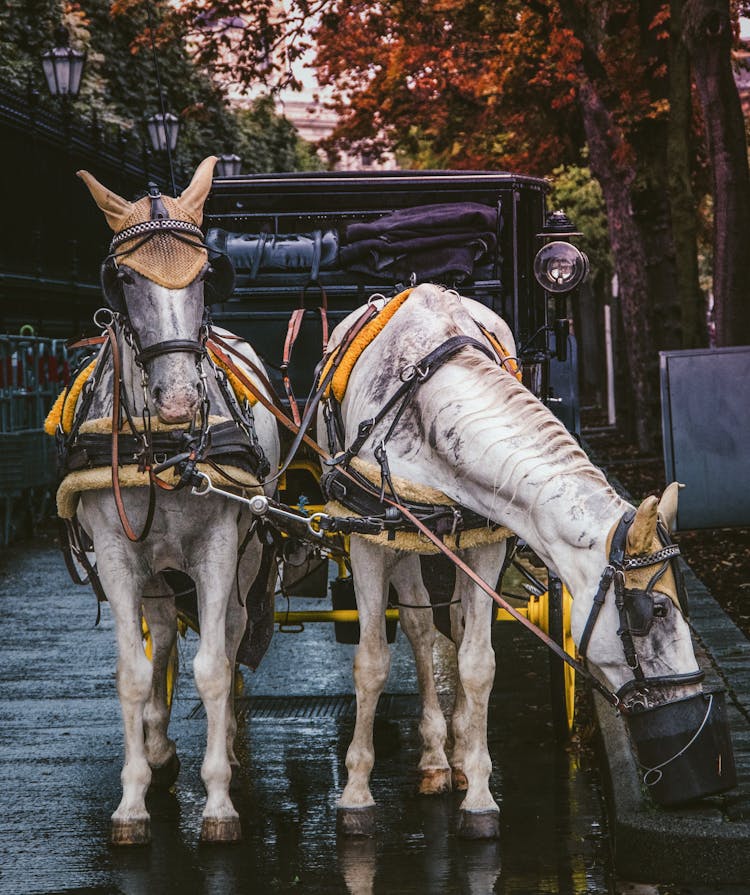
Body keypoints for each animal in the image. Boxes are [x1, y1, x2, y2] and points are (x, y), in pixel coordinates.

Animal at [61, 161, 280, 848]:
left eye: (207, 274)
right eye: (125, 278)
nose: (182, 399)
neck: (163, 446)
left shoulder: (218, 548)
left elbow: (213, 666)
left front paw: (219, 802)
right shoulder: (115, 553)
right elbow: (135, 672)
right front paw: (132, 802)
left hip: (246, 554)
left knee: (231, 633)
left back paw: (225, 745)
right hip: (154, 569)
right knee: (160, 635)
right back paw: (158, 750)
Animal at [320, 286, 704, 840]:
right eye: (655, 610)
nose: (690, 715)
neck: (425, 397)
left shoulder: (485, 541)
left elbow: (477, 662)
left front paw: (479, 794)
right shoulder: (367, 537)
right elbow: (371, 663)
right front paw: (355, 795)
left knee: (451, 629)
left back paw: (451, 758)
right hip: (400, 540)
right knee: (418, 628)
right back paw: (434, 758)